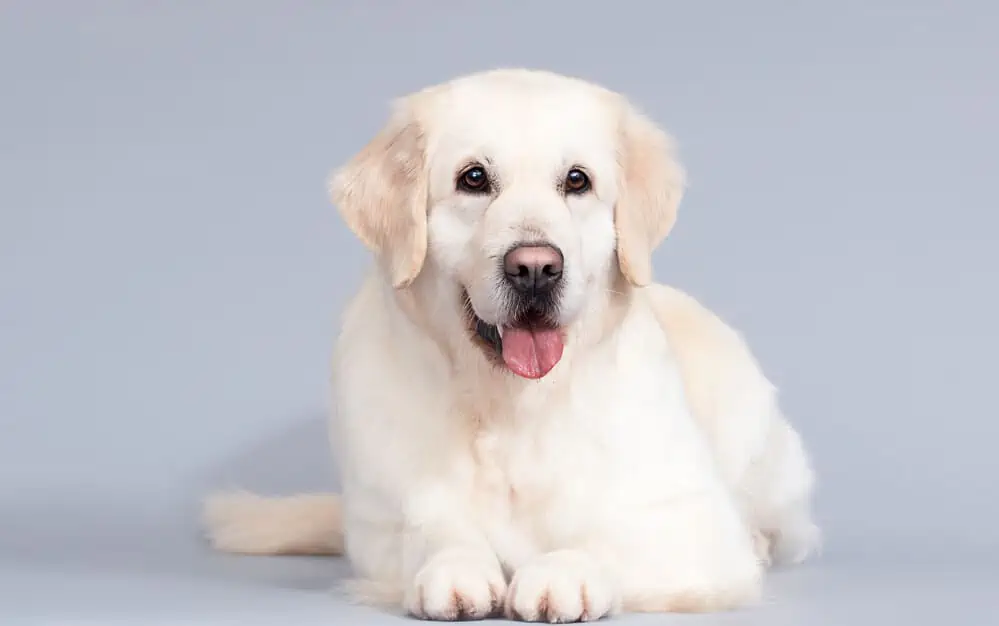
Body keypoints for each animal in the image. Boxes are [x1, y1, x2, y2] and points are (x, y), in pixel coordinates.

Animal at [203, 68, 820, 620]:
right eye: (474, 178)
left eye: (577, 181)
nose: (535, 269)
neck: (511, 408)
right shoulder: (381, 528)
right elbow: (433, 530)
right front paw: (456, 567)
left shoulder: (686, 521)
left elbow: (606, 540)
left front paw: (562, 574)